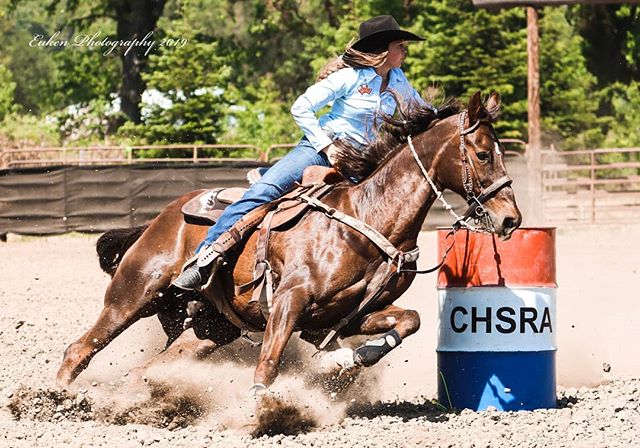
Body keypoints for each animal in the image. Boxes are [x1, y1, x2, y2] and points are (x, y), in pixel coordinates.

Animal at [57, 93, 520, 390]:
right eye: (483, 154)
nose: (511, 219)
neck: (365, 220)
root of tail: (161, 218)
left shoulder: (343, 317)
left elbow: (410, 320)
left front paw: (351, 360)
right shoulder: (288, 301)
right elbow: (268, 366)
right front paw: (260, 412)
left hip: (210, 326)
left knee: (149, 368)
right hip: (135, 293)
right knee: (79, 348)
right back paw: (58, 400)